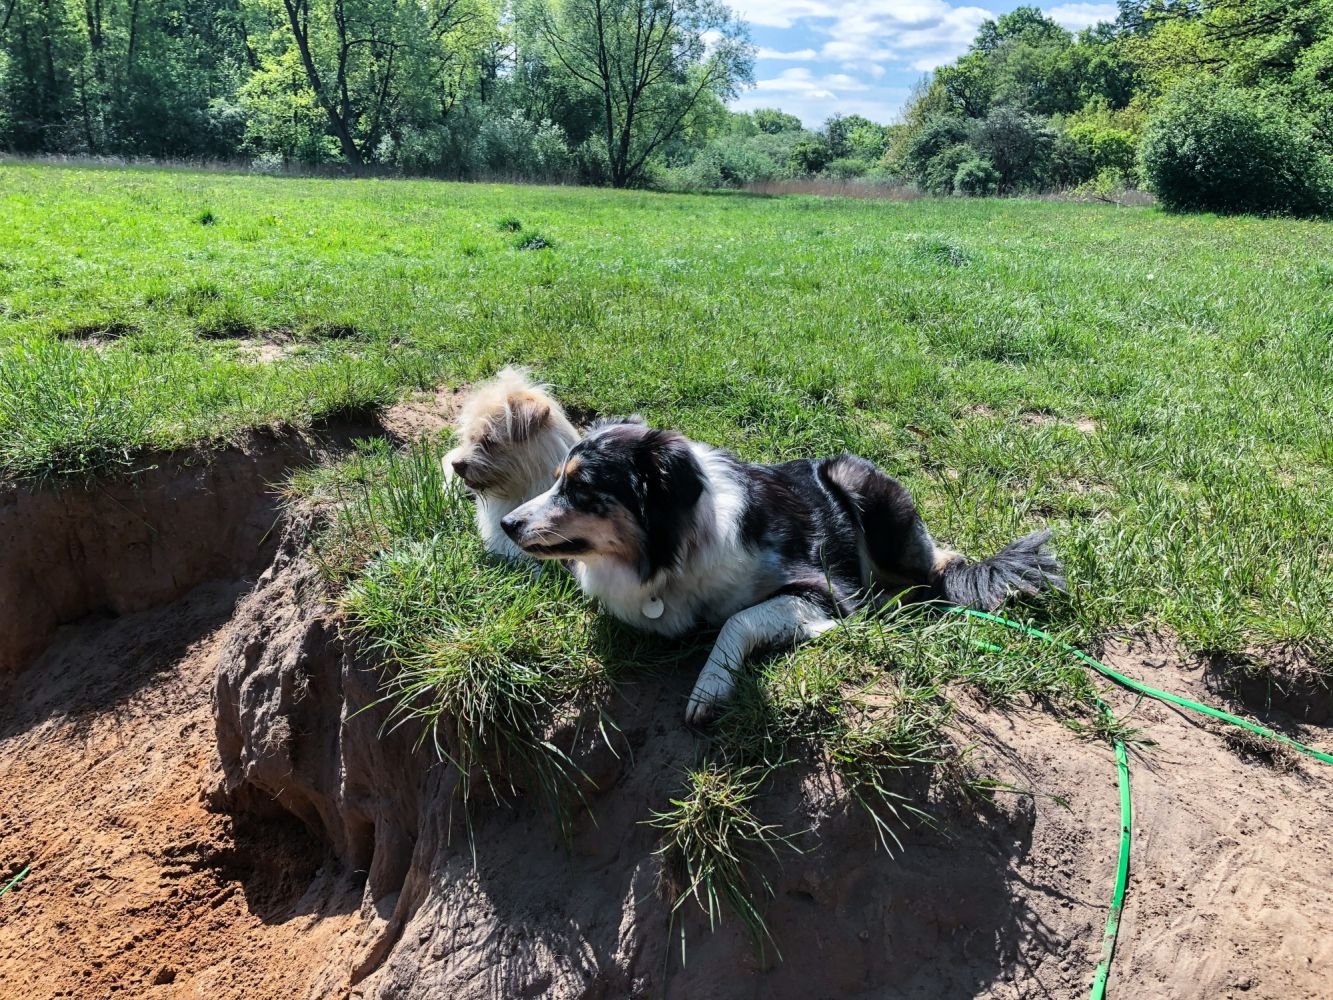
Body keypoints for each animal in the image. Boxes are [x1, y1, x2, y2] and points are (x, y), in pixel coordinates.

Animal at [500, 418, 1064, 722]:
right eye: (556, 479)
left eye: (581, 488)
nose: (507, 523)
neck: (681, 543)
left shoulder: (825, 590)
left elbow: (737, 620)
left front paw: (710, 688)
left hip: (863, 489)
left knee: (931, 576)